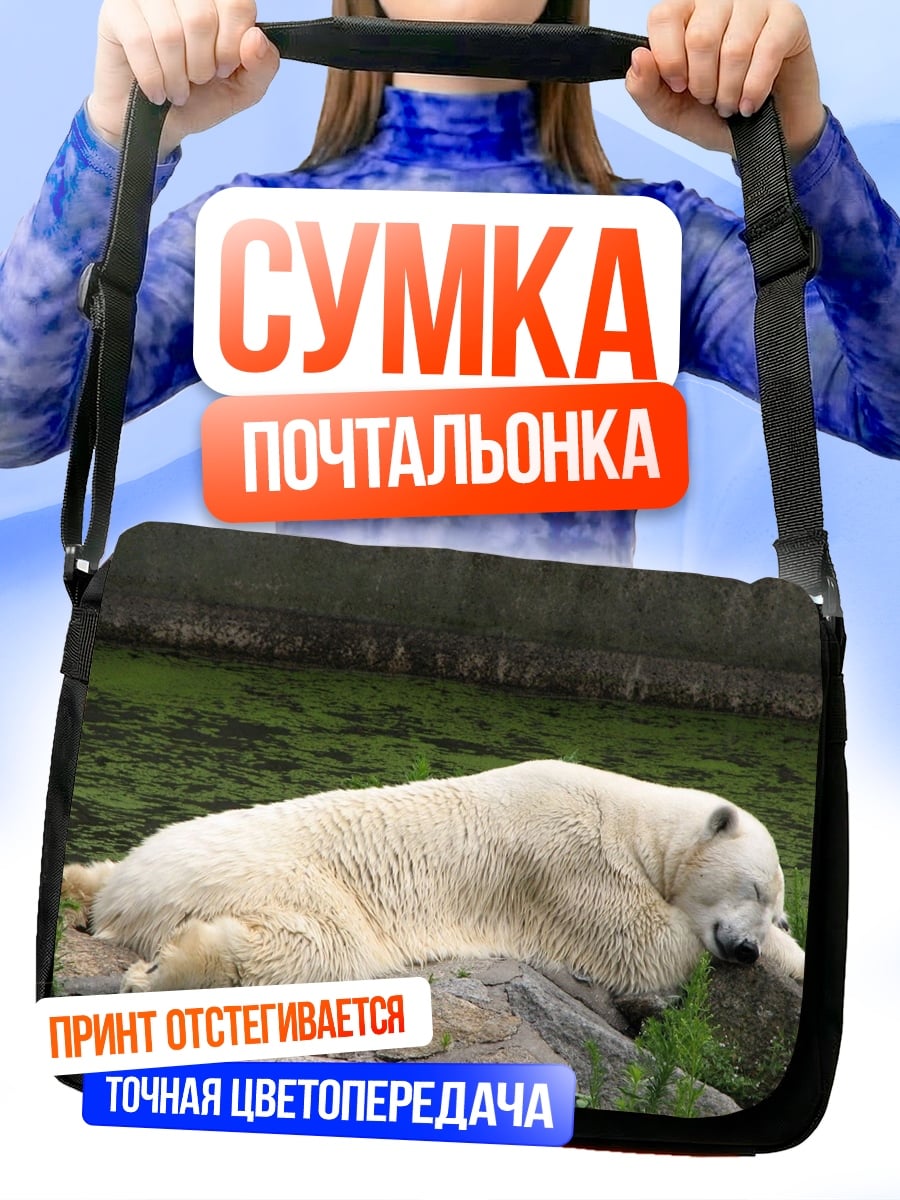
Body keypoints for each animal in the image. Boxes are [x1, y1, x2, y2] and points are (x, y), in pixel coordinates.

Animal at [61, 759, 805, 995]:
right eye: (752, 888)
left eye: (775, 908)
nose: (744, 948)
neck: (635, 820)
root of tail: (132, 895)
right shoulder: (570, 861)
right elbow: (641, 943)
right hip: (271, 873)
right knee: (323, 946)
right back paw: (167, 968)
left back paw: (79, 883)